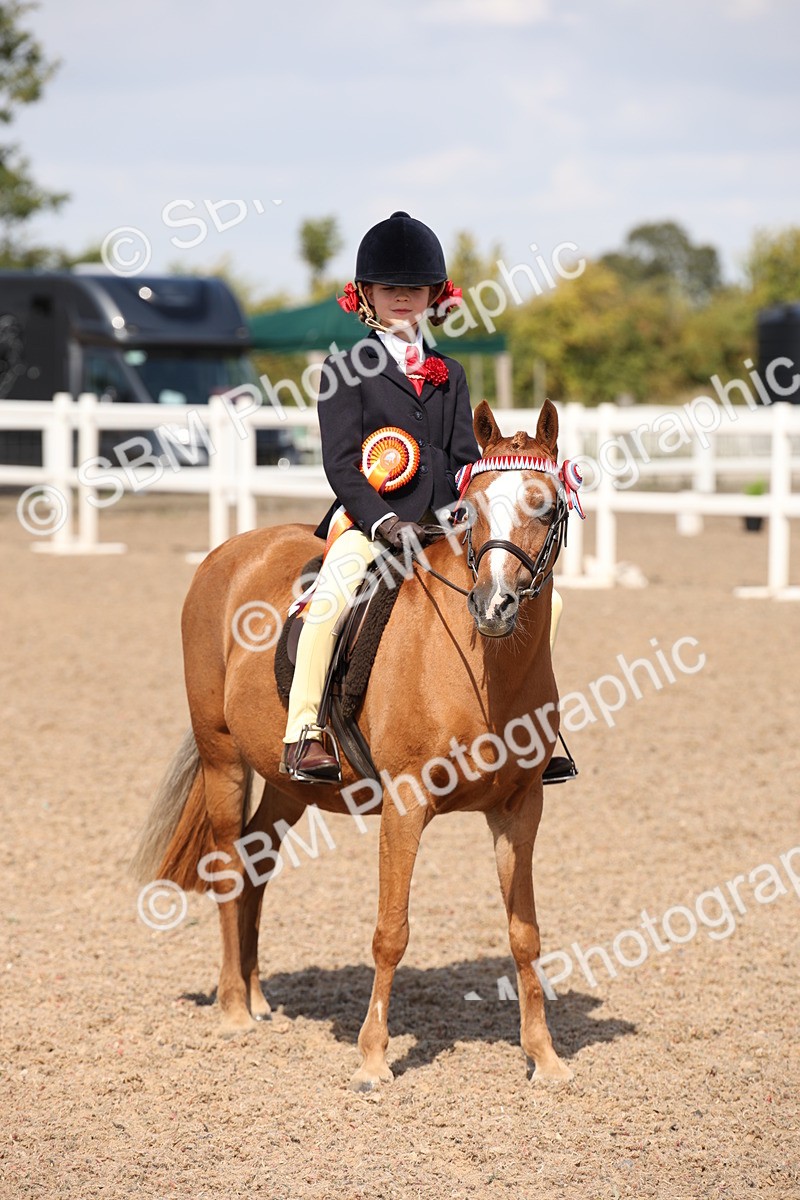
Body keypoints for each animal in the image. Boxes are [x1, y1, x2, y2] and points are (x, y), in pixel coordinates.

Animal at [132, 398, 575, 1088]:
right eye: (468, 510)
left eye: (546, 507)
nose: (493, 606)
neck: (480, 668)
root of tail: (231, 551)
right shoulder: (406, 804)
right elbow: (390, 931)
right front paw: (372, 1059)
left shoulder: (520, 808)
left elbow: (524, 934)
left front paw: (544, 1058)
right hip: (222, 757)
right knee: (229, 864)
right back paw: (232, 1010)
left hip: (288, 784)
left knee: (257, 862)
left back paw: (257, 1000)